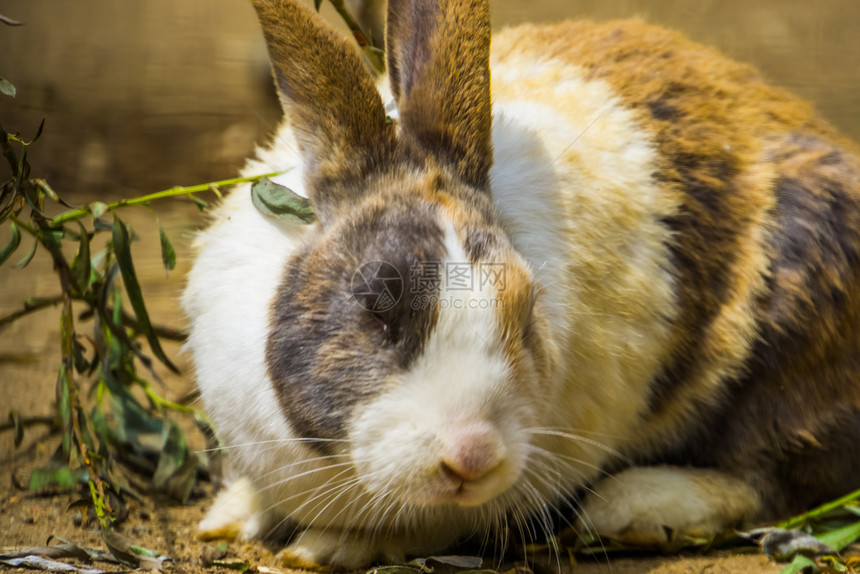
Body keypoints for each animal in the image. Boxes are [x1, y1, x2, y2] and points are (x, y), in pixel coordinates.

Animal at [181, 0, 860, 568]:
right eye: (377, 308)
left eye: (527, 310)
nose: (472, 455)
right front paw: (229, 516)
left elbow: (426, 526)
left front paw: (325, 548)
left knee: (779, 479)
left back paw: (635, 508)